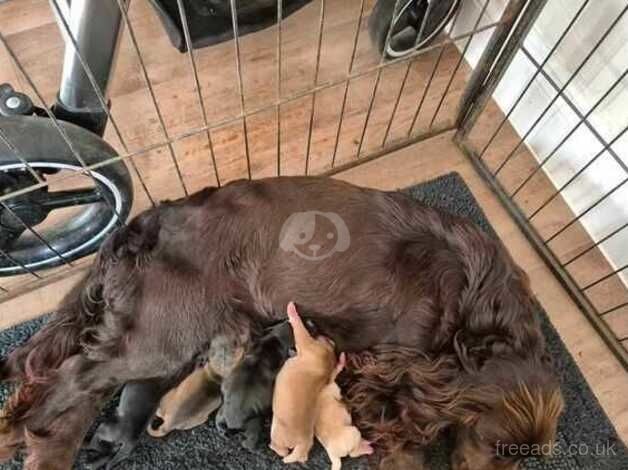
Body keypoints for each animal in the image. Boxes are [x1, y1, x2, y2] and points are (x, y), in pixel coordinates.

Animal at [270, 302, 338, 464]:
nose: (312, 321)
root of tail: (303, 443)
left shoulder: (304, 340)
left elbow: (297, 326)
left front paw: (292, 311)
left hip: (276, 431)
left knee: (279, 449)